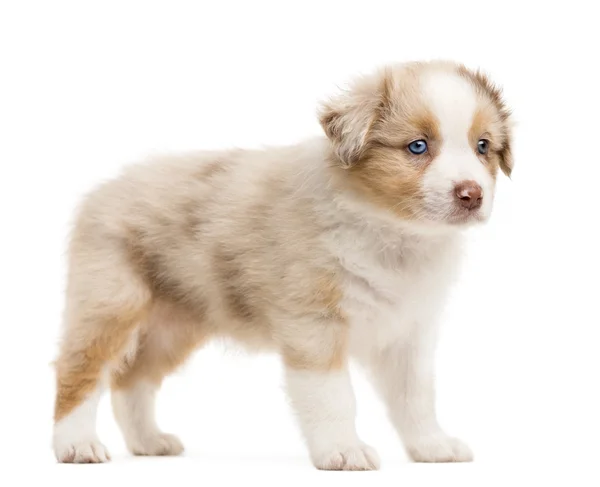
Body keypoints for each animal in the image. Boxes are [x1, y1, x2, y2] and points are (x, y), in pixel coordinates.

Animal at [52, 59, 510, 470]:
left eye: (483, 146)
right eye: (418, 146)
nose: (471, 194)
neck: (392, 233)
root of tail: (104, 188)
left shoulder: (408, 332)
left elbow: (415, 395)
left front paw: (431, 446)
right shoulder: (313, 323)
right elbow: (334, 396)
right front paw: (343, 451)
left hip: (173, 325)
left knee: (133, 380)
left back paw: (148, 441)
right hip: (111, 302)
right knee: (80, 372)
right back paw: (76, 445)